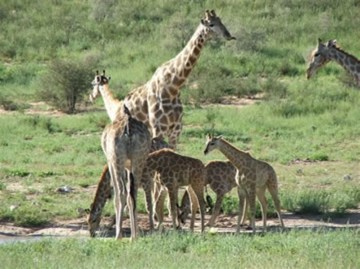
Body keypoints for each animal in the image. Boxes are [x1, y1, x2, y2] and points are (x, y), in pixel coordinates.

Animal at [93, 69, 152, 239]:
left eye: (93, 83)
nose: (92, 95)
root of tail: (128, 128)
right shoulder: (128, 164)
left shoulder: (110, 160)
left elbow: (117, 195)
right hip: (139, 160)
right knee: (133, 193)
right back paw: (134, 236)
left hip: (117, 159)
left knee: (121, 193)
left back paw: (119, 235)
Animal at [123, 9, 236, 149]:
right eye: (211, 24)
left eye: (221, 21)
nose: (229, 35)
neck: (173, 87)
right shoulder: (158, 130)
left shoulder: (176, 131)